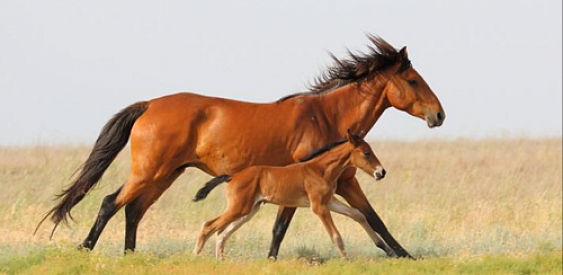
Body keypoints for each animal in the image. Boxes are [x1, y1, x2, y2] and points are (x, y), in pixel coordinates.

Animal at [194, 130, 392, 260]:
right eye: (366, 153)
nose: (381, 172)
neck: (320, 169)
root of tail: (232, 177)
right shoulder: (318, 207)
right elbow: (336, 236)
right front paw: (346, 260)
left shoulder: (329, 202)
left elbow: (358, 214)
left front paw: (385, 248)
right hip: (239, 207)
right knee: (208, 226)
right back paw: (196, 256)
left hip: (249, 210)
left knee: (221, 232)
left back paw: (220, 260)